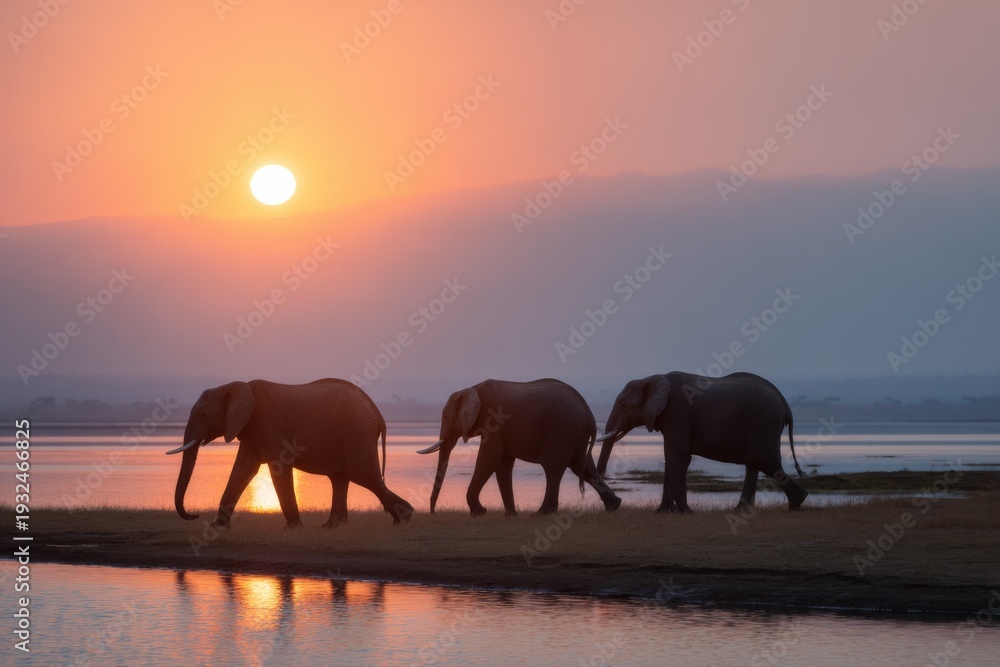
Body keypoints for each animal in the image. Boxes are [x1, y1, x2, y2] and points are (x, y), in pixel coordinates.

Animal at [168, 378, 413, 528]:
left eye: (203, 415)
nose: (195, 515)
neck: (236, 386)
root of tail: (377, 413)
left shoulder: (266, 423)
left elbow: (278, 467)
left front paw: (293, 528)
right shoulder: (251, 428)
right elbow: (243, 469)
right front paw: (217, 527)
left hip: (357, 434)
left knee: (366, 477)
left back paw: (404, 518)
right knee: (341, 479)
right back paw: (331, 527)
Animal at [417, 378, 622, 516]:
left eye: (445, 417)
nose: (433, 512)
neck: (471, 389)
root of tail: (589, 414)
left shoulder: (494, 422)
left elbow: (488, 460)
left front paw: (479, 512)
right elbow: (502, 465)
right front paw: (510, 515)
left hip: (561, 430)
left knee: (553, 469)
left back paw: (541, 514)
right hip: (574, 434)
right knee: (583, 467)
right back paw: (614, 507)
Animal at [596, 372, 807, 513]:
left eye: (624, 405)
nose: (603, 473)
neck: (653, 378)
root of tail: (784, 403)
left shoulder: (677, 412)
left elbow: (677, 457)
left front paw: (684, 512)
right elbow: (673, 458)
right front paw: (663, 512)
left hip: (762, 421)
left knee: (763, 459)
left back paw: (797, 502)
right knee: (754, 463)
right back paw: (742, 510)